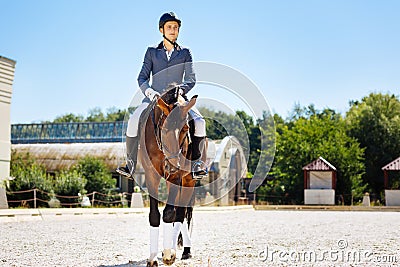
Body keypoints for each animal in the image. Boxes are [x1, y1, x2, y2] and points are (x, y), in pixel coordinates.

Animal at [138, 85, 199, 266]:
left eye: (186, 130)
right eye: (164, 129)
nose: (174, 164)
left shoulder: (176, 177)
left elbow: (169, 213)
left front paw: (167, 254)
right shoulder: (151, 175)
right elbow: (154, 215)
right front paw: (152, 258)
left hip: (188, 181)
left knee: (181, 214)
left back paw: (182, 251)